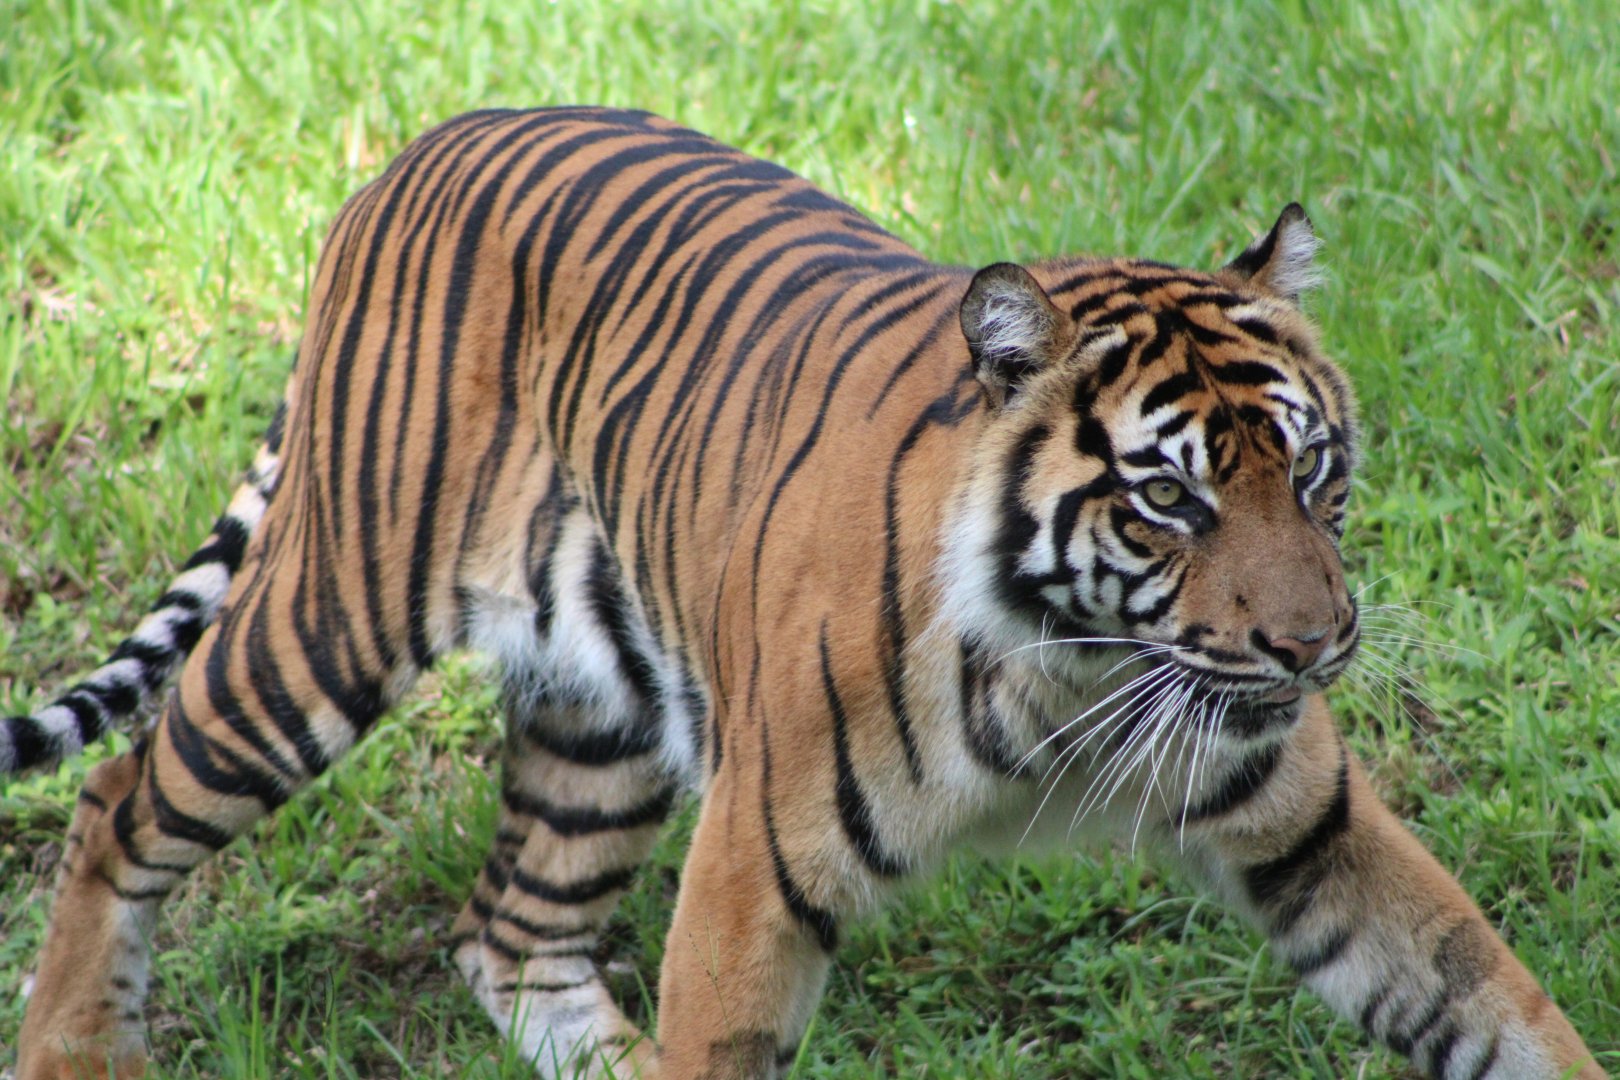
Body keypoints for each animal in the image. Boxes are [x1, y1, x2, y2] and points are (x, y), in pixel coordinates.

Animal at [3, 106, 1601, 1080]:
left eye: (1312, 468)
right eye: (1171, 499)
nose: (1318, 645)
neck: (1076, 665)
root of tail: (422, 144)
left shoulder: (1313, 828)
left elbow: (1485, 998)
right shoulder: (755, 863)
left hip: (598, 712)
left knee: (513, 931)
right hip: (331, 619)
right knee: (123, 799)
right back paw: (75, 1045)